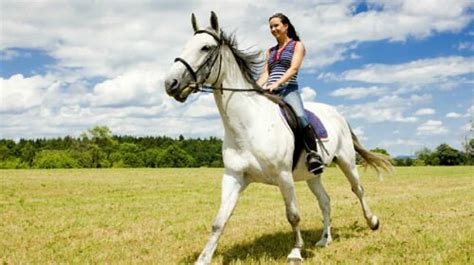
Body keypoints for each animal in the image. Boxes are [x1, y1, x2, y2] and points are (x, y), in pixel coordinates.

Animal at [165, 11, 390, 262]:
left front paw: (296, 251)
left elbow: (293, 215)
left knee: (358, 190)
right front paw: (203, 258)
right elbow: (219, 221)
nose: (170, 84)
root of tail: (337, 114)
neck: (248, 126)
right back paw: (324, 239)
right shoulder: (234, 177)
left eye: (205, 47)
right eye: (185, 45)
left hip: (346, 162)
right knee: (325, 201)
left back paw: (373, 222)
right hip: (313, 175)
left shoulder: (284, 177)